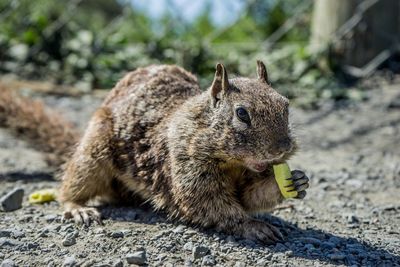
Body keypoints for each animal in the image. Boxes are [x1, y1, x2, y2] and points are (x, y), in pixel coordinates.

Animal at [0, 61, 310, 245]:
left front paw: (295, 180)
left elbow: (249, 196)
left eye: (286, 105)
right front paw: (253, 226)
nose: (282, 148)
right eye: (242, 113)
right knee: (71, 186)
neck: (232, 162)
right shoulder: (187, 166)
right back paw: (78, 208)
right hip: (93, 154)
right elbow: (210, 203)